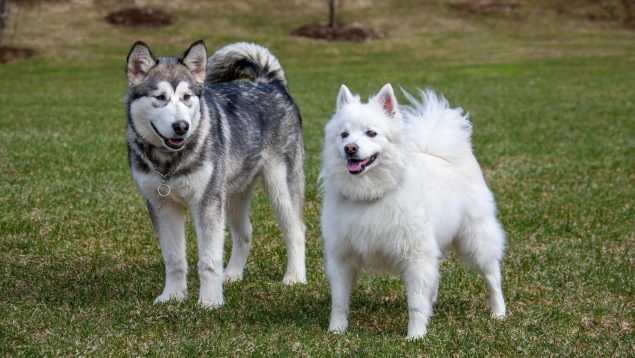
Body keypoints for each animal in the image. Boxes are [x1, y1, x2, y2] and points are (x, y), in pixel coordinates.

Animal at [125, 39, 308, 308]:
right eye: (160, 97)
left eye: (187, 97)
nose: (182, 127)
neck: (170, 162)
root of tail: (268, 83)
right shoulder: (162, 205)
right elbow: (174, 258)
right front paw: (173, 296)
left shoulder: (207, 202)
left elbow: (209, 260)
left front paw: (210, 302)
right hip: (232, 195)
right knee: (245, 233)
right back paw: (232, 274)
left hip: (280, 188)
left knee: (295, 230)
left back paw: (295, 277)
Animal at [320, 84, 510, 338]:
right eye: (344, 135)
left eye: (371, 133)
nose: (350, 148)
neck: (370, 195)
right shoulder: (341, 255)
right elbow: (339, 300)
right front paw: (336, 331)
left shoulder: (416, 255)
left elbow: (416, 302)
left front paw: (415, 335)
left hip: (476, 240)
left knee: (492, 277)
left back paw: (498, 312)